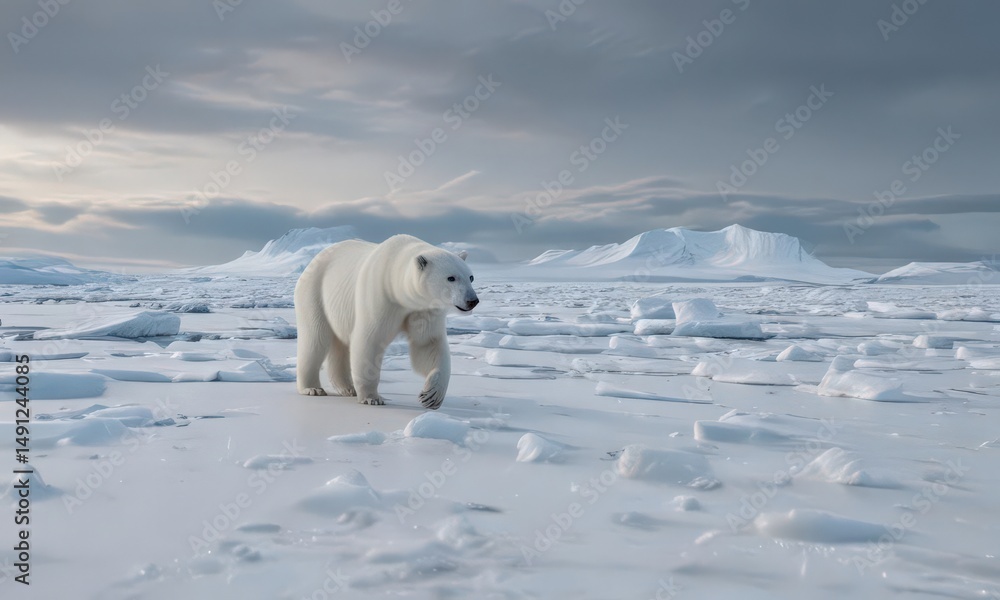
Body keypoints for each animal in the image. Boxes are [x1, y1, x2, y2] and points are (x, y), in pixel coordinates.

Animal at [294, 234, 479, 409]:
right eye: (451, 278)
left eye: (471, 277)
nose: (472, 300)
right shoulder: (380, 296)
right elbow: (370, 340)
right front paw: (372, 398)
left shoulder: (424, 309)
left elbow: (428, 344)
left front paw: (431, 396)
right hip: (315, 293)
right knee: (315, 340)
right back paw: (312, 388)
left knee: (339, 345)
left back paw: (348, 388)